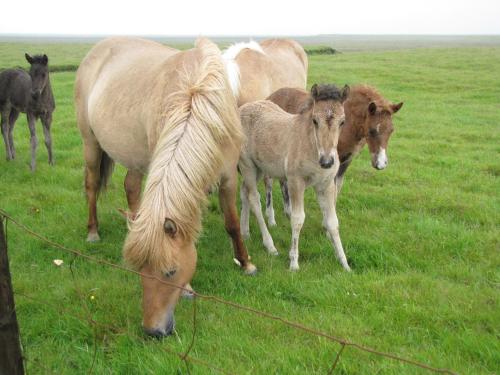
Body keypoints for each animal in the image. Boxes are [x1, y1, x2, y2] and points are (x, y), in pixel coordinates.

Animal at [76, 37, 256, 338]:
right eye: (139, 271)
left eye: (170, 272)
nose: (153, 331)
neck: (198, 98)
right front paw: (189, 289)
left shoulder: (228, 177)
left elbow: (231, 223)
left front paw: (246, 263)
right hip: (91, 144)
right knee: (91, 186)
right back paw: (93, 232)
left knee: (131, 187)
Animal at [239, 84, 352, 274]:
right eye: (315, 120)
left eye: (342, 121)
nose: (327, 162)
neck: (311, 147)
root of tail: (242, 108)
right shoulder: (295, 182)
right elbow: (297, 219)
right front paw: (293, 263)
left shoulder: (326, 185)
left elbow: (332, 222)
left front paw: (344, 264)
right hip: (247, 165)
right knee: (254, 199)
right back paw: (270, 246)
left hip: (259, 168)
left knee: (244, 193)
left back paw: (244, 232)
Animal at [266, 85, 402, 223]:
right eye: (372, 131)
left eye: (391, 130)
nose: (381, 164)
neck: (349, 126)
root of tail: (270, 96)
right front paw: (326, 222)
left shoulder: (346, 161)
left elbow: (337, 188)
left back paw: (287, 211)